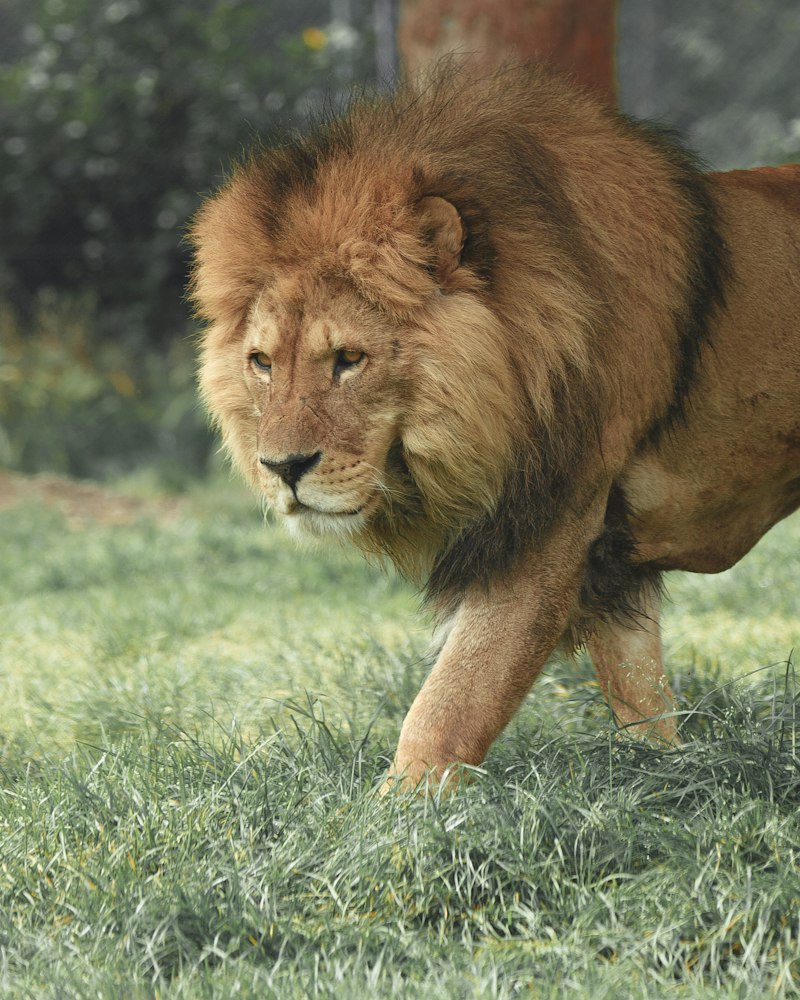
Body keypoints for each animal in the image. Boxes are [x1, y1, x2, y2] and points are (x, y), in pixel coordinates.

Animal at [189, 65, 800, 789]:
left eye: (348, 360)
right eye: (261, 363)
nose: (281, 469)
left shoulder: (547, 524)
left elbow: (452, 702)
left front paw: (390, 814)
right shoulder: (608, 557)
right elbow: (640, 689)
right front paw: (669, 776)